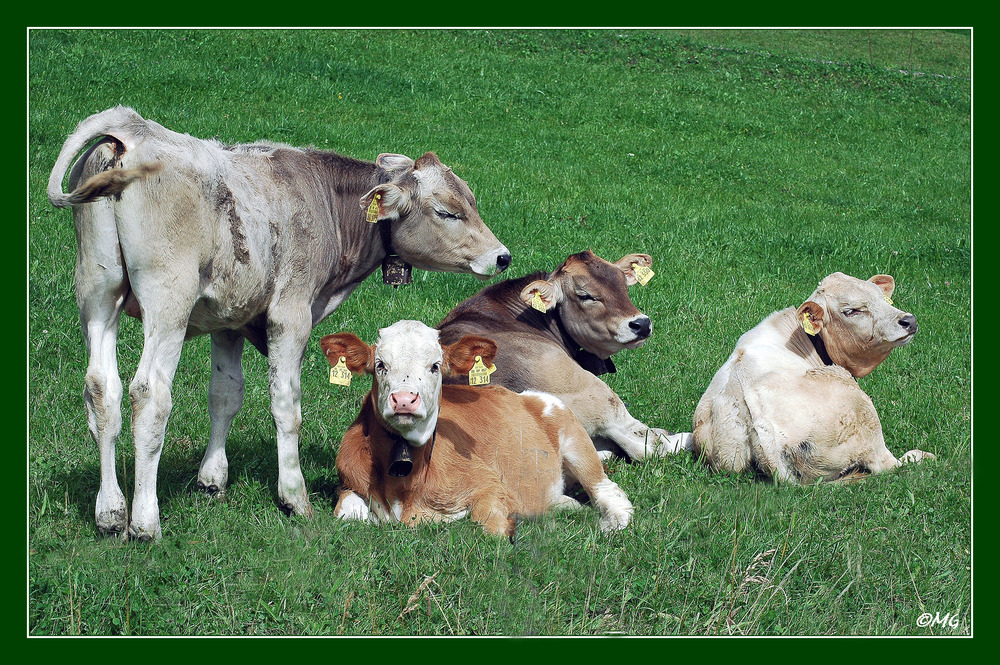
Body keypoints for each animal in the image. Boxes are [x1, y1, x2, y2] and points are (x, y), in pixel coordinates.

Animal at [47, 105, 512, 540]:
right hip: (168, 300)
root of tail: (132, 127)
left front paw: (212, 480)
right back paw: (144, 521)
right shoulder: (291, 315)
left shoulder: (229, 319)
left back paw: (110, 513)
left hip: (97, 289)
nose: (503, 256)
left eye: (471, 201)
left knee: (102, 389)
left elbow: (225, 394)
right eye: (447, 211)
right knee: (149, 394)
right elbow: (287, 404)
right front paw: (294, 496)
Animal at [320, 320, 632, 536]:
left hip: (574, 438)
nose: (405, 399)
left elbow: (488, 526)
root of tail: (521, 394)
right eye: (380, 365)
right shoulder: (348, 483)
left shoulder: (488, 484)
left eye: (435, 366)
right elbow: (346, 514)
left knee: (608, 490)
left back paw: (612, 523)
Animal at [692, 270, 932, 482]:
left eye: (884, 299)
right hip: (861, 409)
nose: (909, 320)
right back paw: (921, 456)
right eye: (852, 311)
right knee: (888, 464)